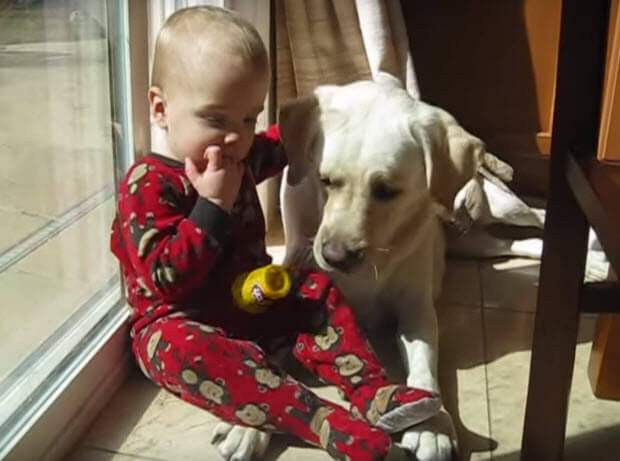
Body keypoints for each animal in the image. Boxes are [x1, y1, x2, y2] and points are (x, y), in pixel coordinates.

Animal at [213, 81, 548, 458]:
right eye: (325, 180)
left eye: (387, 190)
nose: (335, 256)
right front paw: (248, 423)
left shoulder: (416, 310)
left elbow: (424, 367)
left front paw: (431, 426)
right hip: (478, 243)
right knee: (513, 244)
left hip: (500, 207)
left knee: (537, 216)